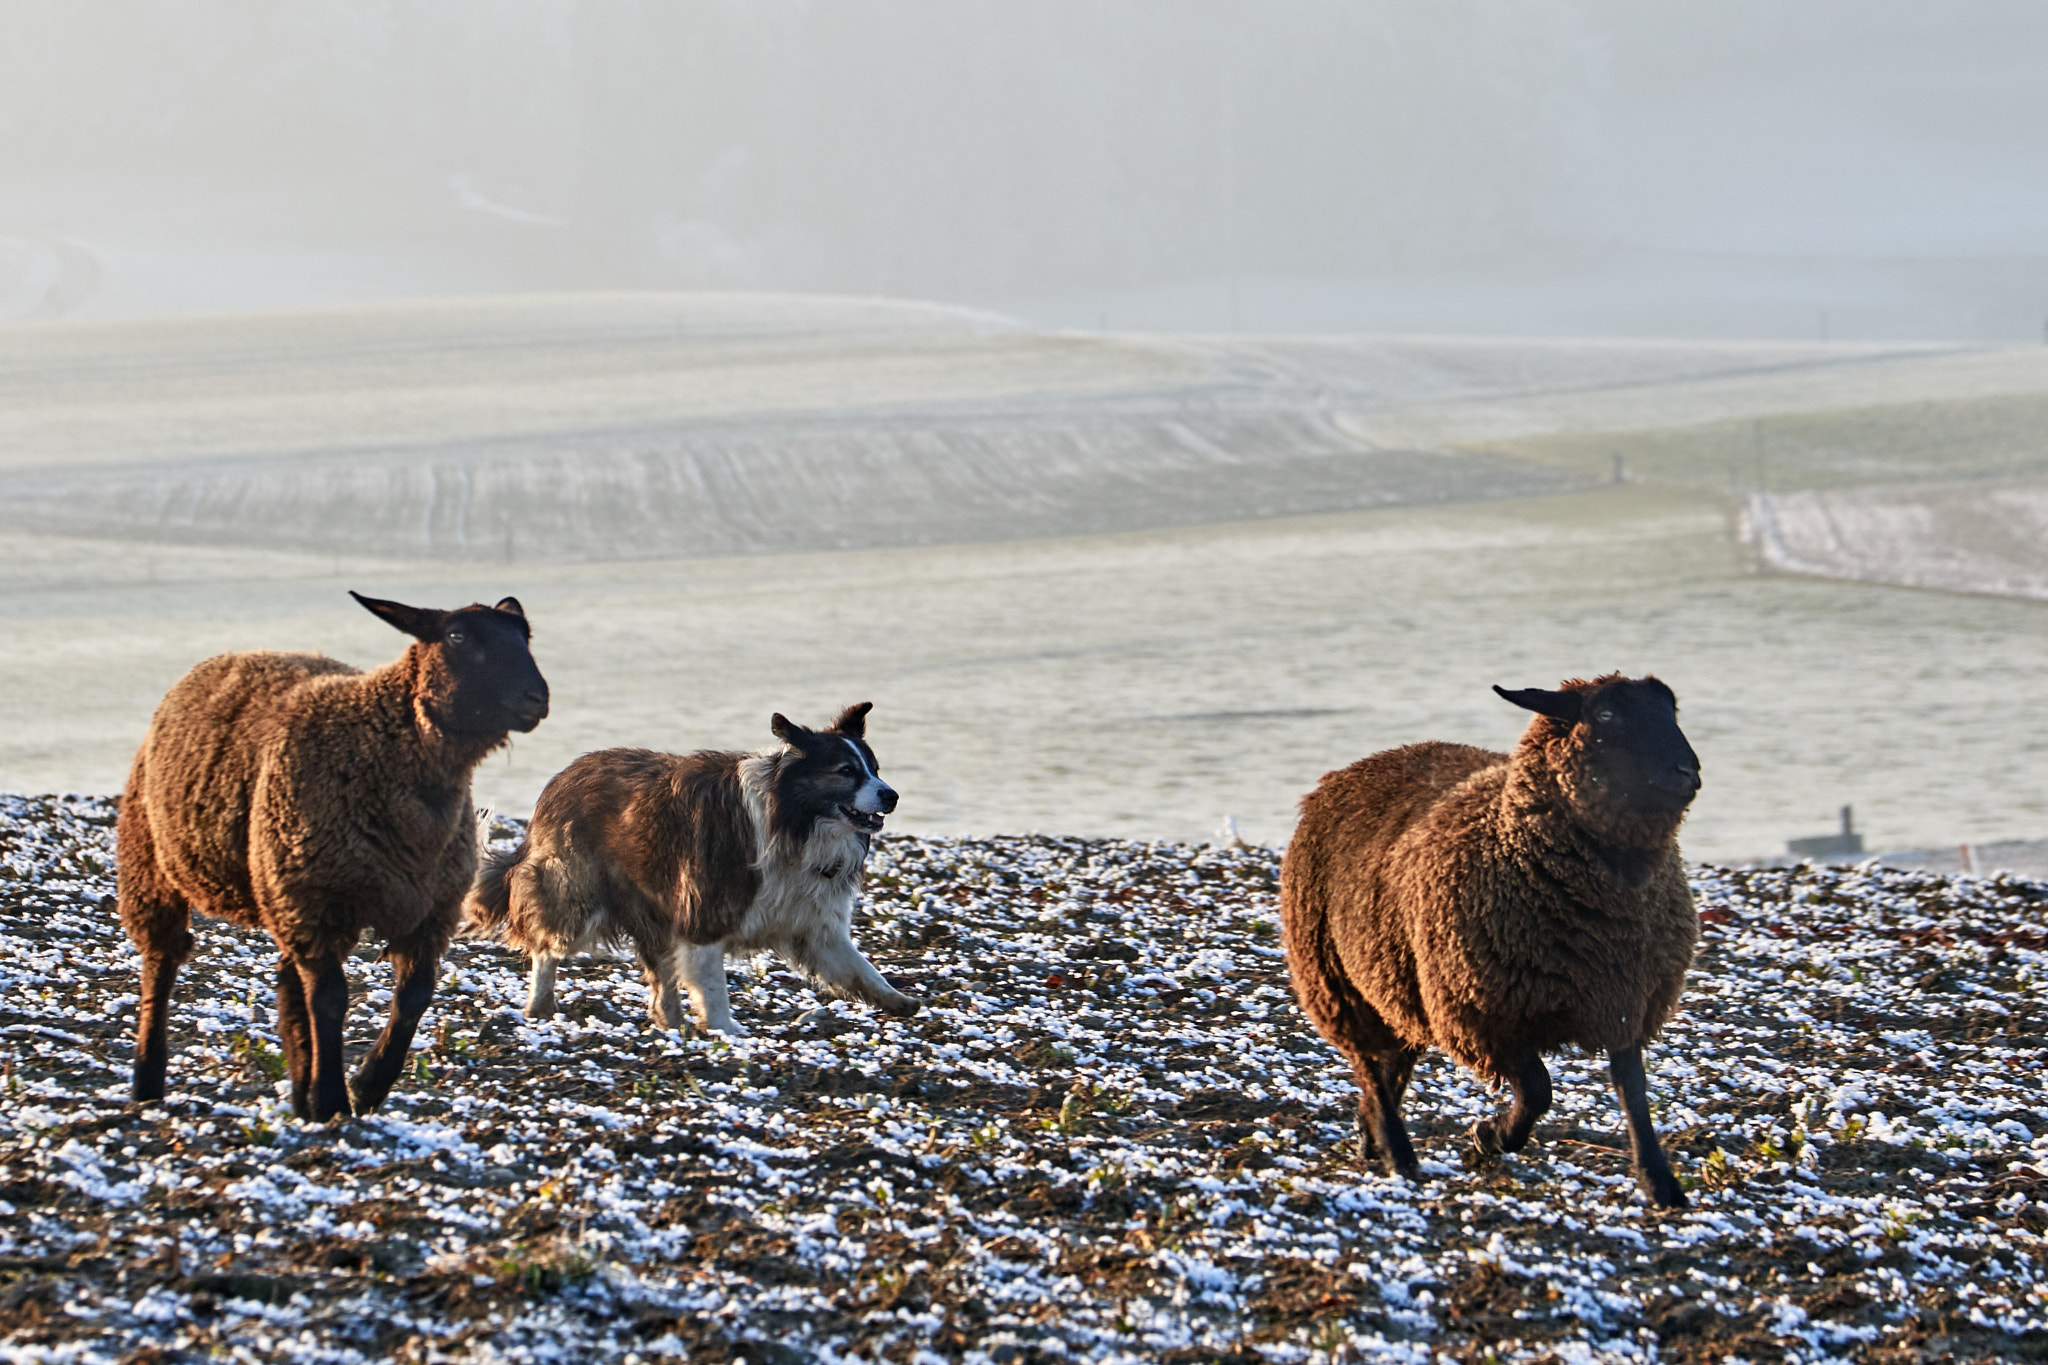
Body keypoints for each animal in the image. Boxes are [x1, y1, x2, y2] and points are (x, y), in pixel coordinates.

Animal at [116, 591, 549, 1122]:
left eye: (525, 636)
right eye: (457, 636)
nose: (537, 698)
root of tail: (234, 655)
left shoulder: (429, 910)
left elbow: (414, 997)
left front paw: (365, 1087)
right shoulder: (316, 901)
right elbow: (330, 1000)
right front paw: (333, 1100)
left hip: (285, 887)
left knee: (288, 984)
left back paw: (300, 1094)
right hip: (156, 863)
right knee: (162, 964)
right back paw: (148, 1084)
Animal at [1279, 674, 1701, 1208]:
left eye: (1671, 709)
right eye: (1606, 716)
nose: (1688, 769)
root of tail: (1347, 771)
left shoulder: (1626, 1001)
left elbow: (1635, 1094)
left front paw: (1660, 1182)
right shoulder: (1485, 1014)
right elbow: (1539, 1090)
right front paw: (1490, 1137)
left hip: (1399, 977)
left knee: (1394, 1060)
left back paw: (1370, 1138)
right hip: (1335, 982)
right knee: (1371, 1065)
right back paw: (1397, 1153)